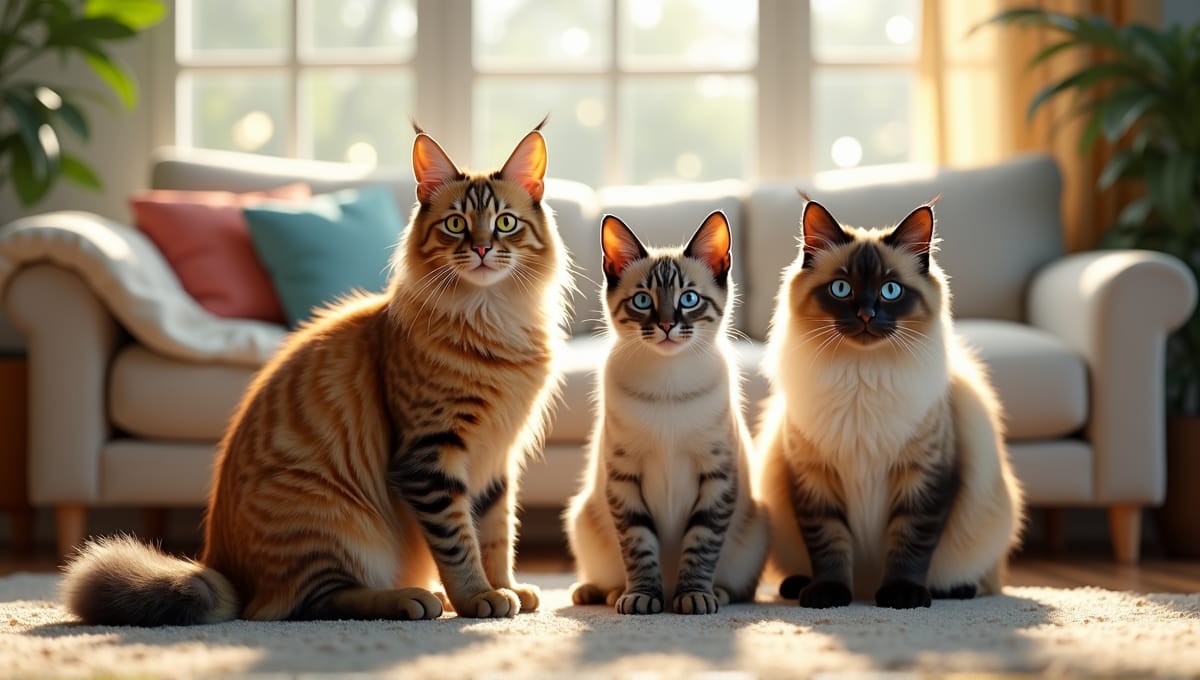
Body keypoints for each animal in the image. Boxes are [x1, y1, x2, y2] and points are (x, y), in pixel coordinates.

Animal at [58, 123, 573, 628]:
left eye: (505, 222)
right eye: (455, 224)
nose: (483, 248)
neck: (493, 321)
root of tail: (220, 567)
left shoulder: (498, 460)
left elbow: (495, 535)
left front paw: (506, 587)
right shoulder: (431, 456)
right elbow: (459, 543)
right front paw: (477, 597)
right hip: (328, 518)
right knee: (313, 604)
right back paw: (412, 599)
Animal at [564, 209, 768, 614]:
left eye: (689, 298)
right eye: (643, 301)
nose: (667, 325)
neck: (668, 384)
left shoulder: (716, 474)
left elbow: (701, 544)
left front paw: (693, 597)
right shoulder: (625, 476)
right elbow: (639, 545)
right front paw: (643, 597)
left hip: (756, 526)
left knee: (741, 587)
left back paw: (714, 593)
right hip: (583, 517)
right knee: (605, 573)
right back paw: (602, 592)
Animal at [758, 199, 1022, 609]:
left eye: (891, 290)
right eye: (841, 288)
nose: (867, 315)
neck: (861, 378)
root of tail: (866, 585)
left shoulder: (924, 477)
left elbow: (910, 545)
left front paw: (902, 597)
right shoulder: (815, 479)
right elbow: (829, 546)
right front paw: (829, 595)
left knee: (986, 580)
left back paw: (951, 590)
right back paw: (800, 587)